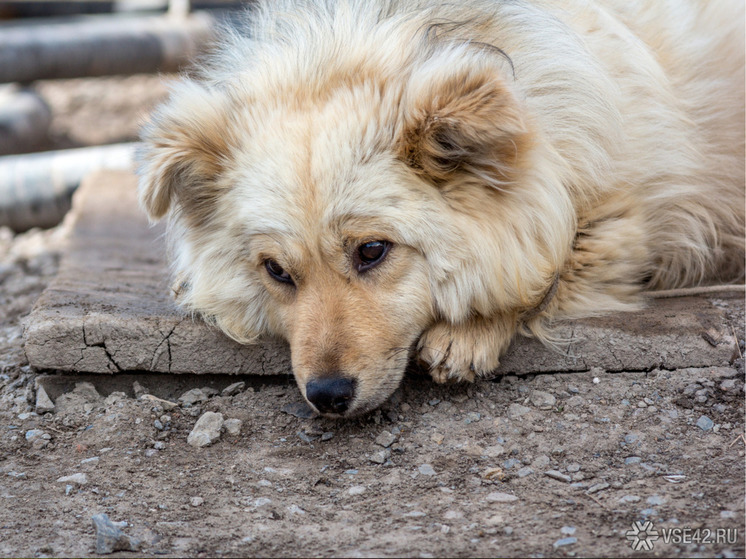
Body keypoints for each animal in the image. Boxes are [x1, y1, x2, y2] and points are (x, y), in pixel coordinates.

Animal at [137, 0, 740, 418]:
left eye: (372, 251)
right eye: (276, 270)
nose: (327, 395)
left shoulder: (620, 223)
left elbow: (542, 270)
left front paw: (468, 332)